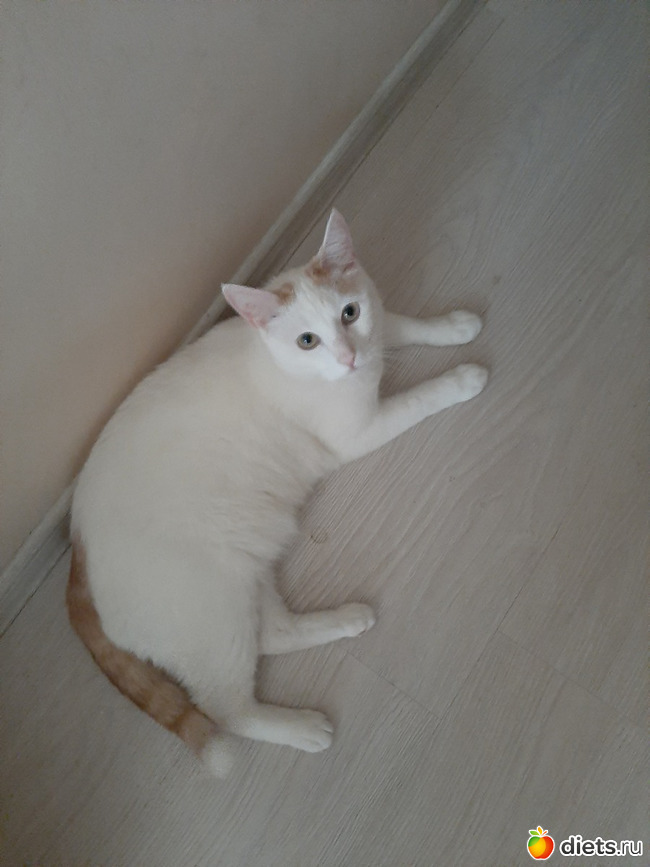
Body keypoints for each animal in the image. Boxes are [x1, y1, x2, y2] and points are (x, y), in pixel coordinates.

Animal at [67, 209, 487, 777]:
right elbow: (423, 395)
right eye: (307, 341)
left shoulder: (377, 325)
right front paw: (461, 377)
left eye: (350, 313)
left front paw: (453, 325)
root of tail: (77, 548)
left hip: (247, 574)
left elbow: (403, 321)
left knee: (276, 635)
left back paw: (347, 618)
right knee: (228, 711)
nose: (348, 358)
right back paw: (301, 727)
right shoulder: (360, 432)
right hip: (216, 613)